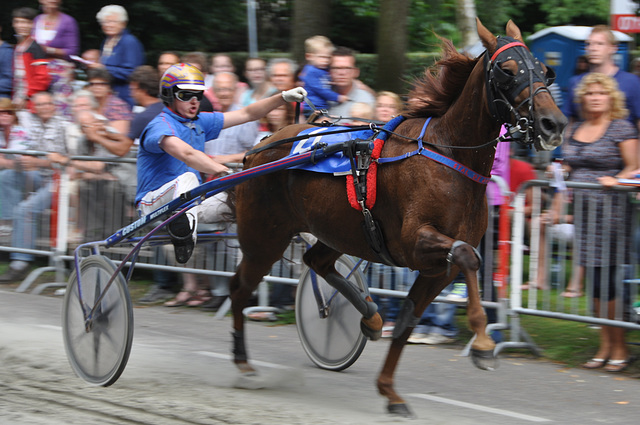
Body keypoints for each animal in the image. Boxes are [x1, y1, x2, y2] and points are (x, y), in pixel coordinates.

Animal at [226, 18, 564, 416]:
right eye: (508, 70)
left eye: (544, 70)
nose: (553, 123)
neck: (449, 154)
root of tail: (259, 146)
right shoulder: (415, 243)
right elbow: (468, 255)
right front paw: (482, 344)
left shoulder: (436, 269)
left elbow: (406, 321)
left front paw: (390, 392)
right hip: (265, 236)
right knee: (240, 287)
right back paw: (243, 363)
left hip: (339, 230)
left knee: (316, 261)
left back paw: (370, 318)